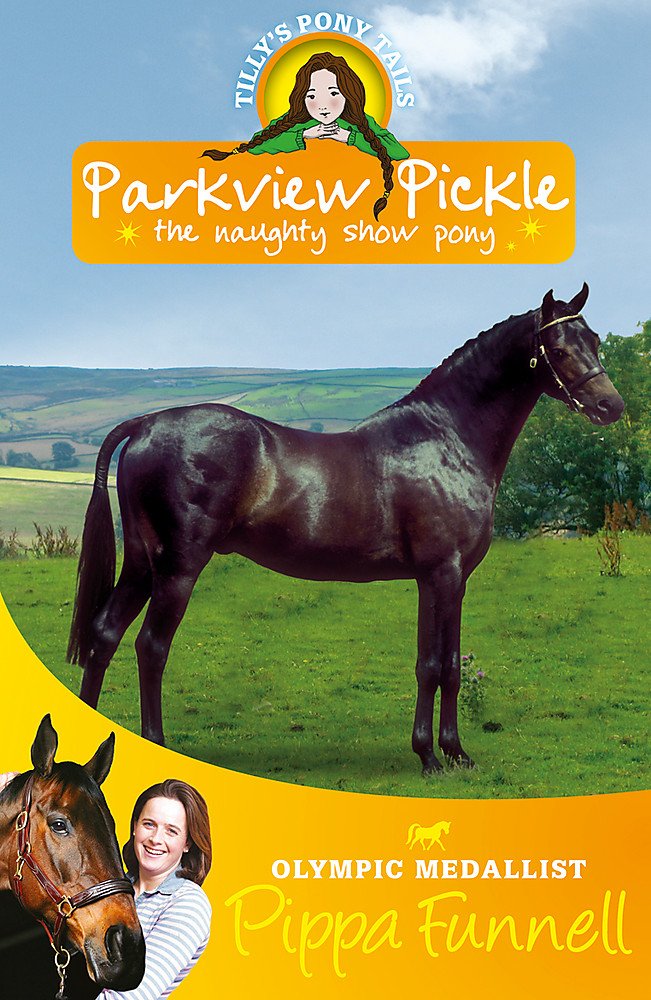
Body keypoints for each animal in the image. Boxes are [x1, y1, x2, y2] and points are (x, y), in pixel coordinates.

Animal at [67, 284, 624, 774]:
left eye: (595, 341)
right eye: (558, 348)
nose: (610, 407)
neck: (447, 436)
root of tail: (144, 425)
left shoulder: (452, 580)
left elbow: (448, 665)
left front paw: (456, 753)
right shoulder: (440, 574)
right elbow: (433, 665)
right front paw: (430, 757)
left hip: (143, 563)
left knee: (105, 634)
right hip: (178, 568)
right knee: (150, 647)